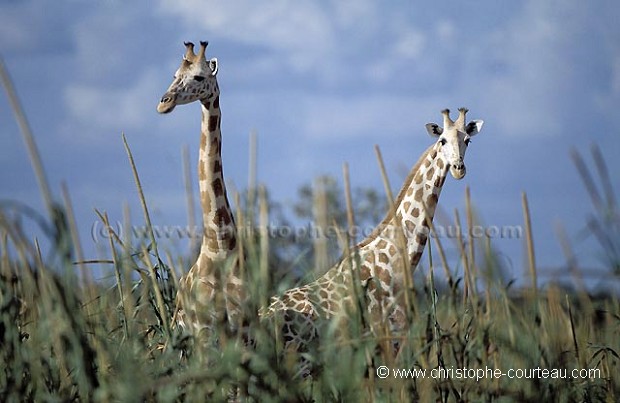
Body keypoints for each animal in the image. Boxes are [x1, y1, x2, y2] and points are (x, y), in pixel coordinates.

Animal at [157, 41, 242, 338]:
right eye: (174, 75)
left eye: (198, 77)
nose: (163, 103)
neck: (220, 249)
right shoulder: (204, 330)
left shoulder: (244, 327)